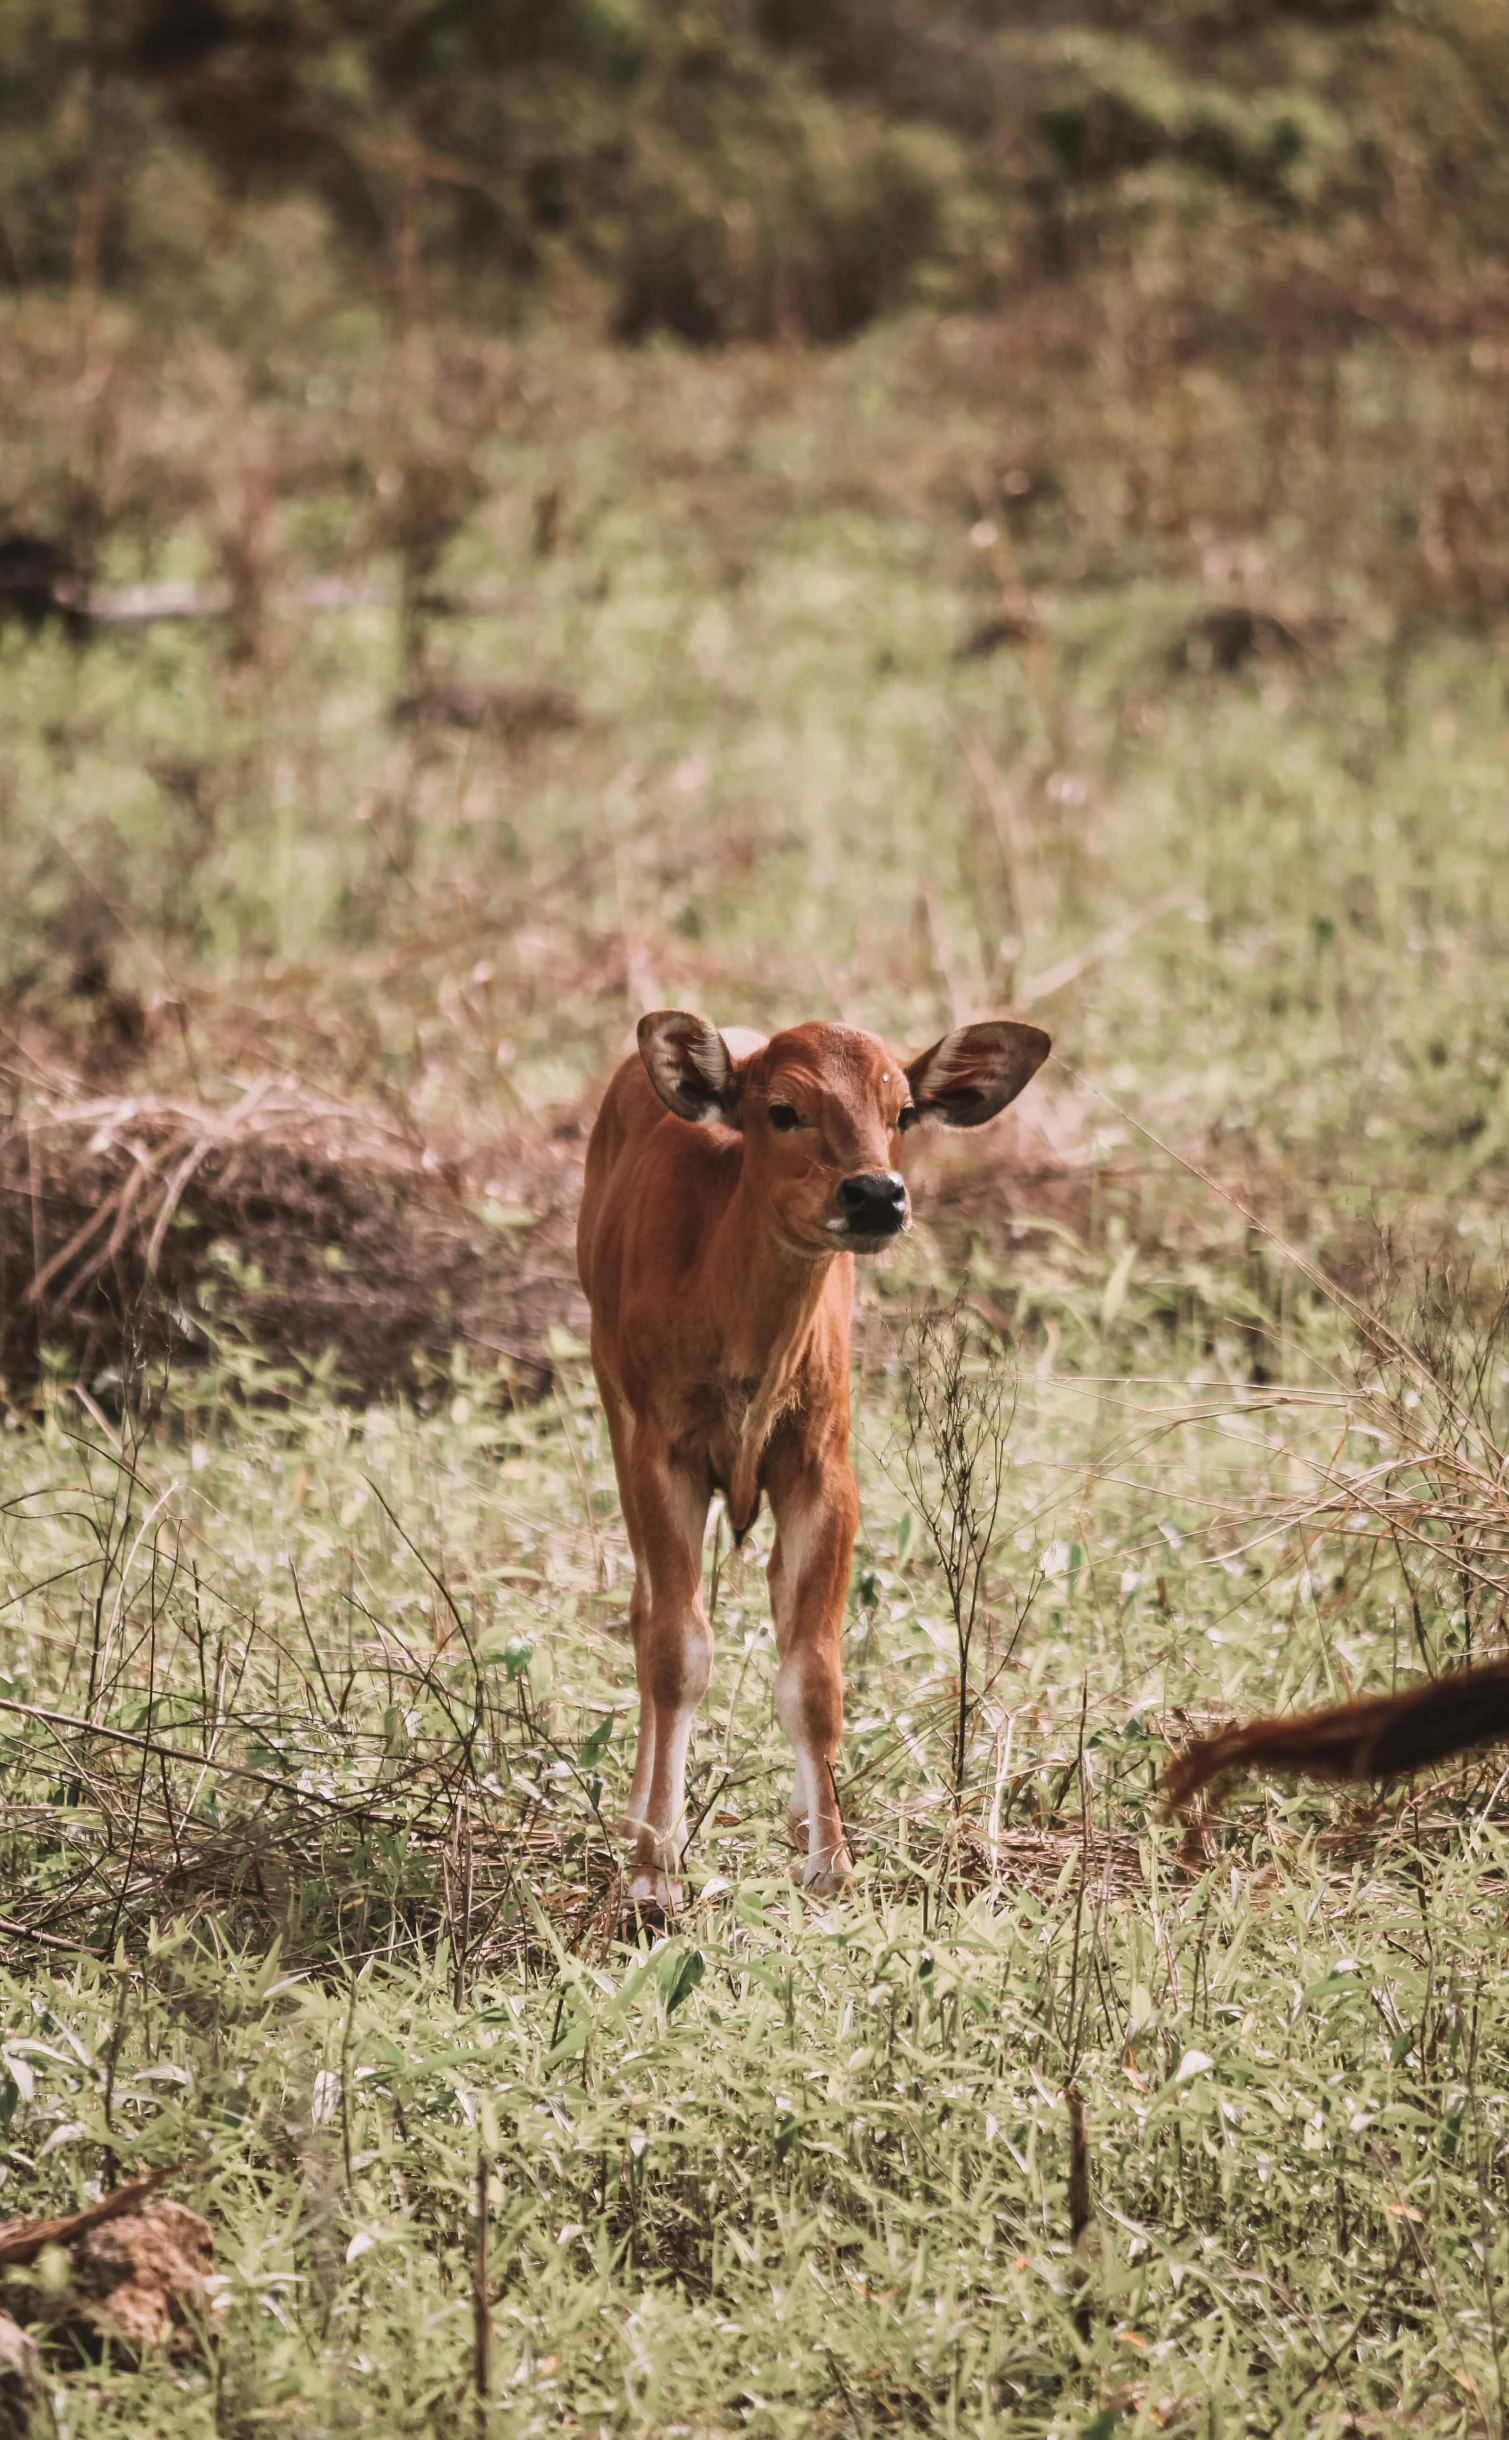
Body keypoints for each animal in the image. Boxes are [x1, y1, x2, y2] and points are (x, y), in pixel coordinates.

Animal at [576, 1010, 1045, 1903]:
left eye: (902, 1112)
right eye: (782, 1109)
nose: (874, 1195)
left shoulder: (823, 1473)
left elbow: (814, 1678)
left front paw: (829, 1861)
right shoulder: (659, 1456)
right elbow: (674, 1653)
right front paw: (655, 1868)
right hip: (613, 1412)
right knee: (646, 1614)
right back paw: (642, 1821)